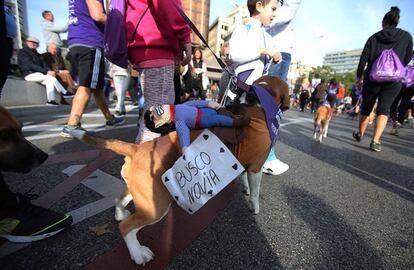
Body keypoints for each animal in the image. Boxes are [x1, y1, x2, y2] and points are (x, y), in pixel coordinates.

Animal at [69, 75, 290, 264]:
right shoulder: (256, 167)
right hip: (156, 207)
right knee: (127, 228)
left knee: (121, 198)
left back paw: (120, 213)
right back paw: (138, 253)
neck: (256, 104)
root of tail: (137, 148)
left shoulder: (245, 163)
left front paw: (244, 188)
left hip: (143, 193)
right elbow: (255, 190)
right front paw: (254, 206)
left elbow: (244, 178)